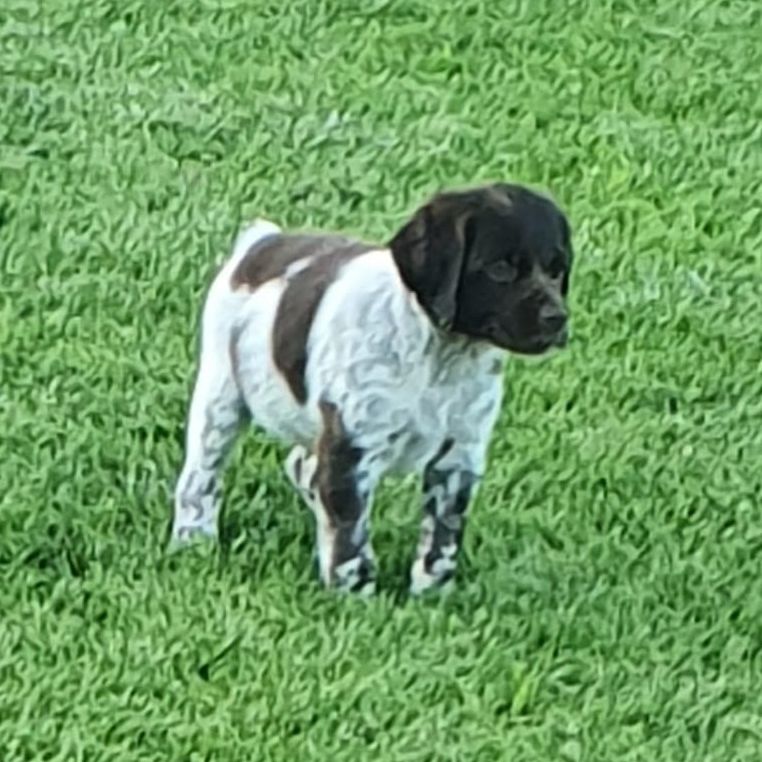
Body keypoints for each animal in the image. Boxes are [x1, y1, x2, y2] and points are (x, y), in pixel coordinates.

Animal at [169, 183, 572, 592]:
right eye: (500, 269)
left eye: (557, 271)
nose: (558, 318)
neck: (439, 354)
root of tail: (261, 243)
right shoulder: (352, 446)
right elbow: (350, 535)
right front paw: (355, 596)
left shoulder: (459, 455)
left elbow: (442, 537)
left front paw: (432, 595)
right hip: (221, 393)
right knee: (201, 477)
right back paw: (193, 540)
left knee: (302, 465)